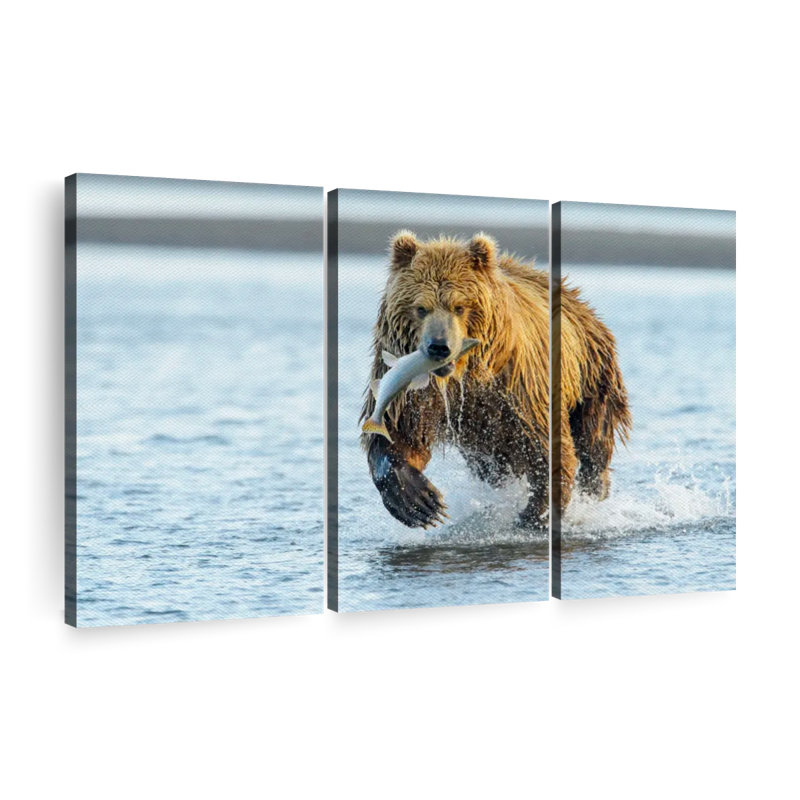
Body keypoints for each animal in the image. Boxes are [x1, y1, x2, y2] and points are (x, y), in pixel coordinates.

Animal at [359, 230, 630, 529]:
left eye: (459, 306)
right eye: (420, 307)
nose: (439, 346)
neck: (463, 376)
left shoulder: (520, 389)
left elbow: (545, 446)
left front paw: (534, 515)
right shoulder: (412, 393)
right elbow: (400, 435)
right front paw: (421, 502)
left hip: (592, 372)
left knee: (595, 437)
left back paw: (595, 487)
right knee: (491, 466)